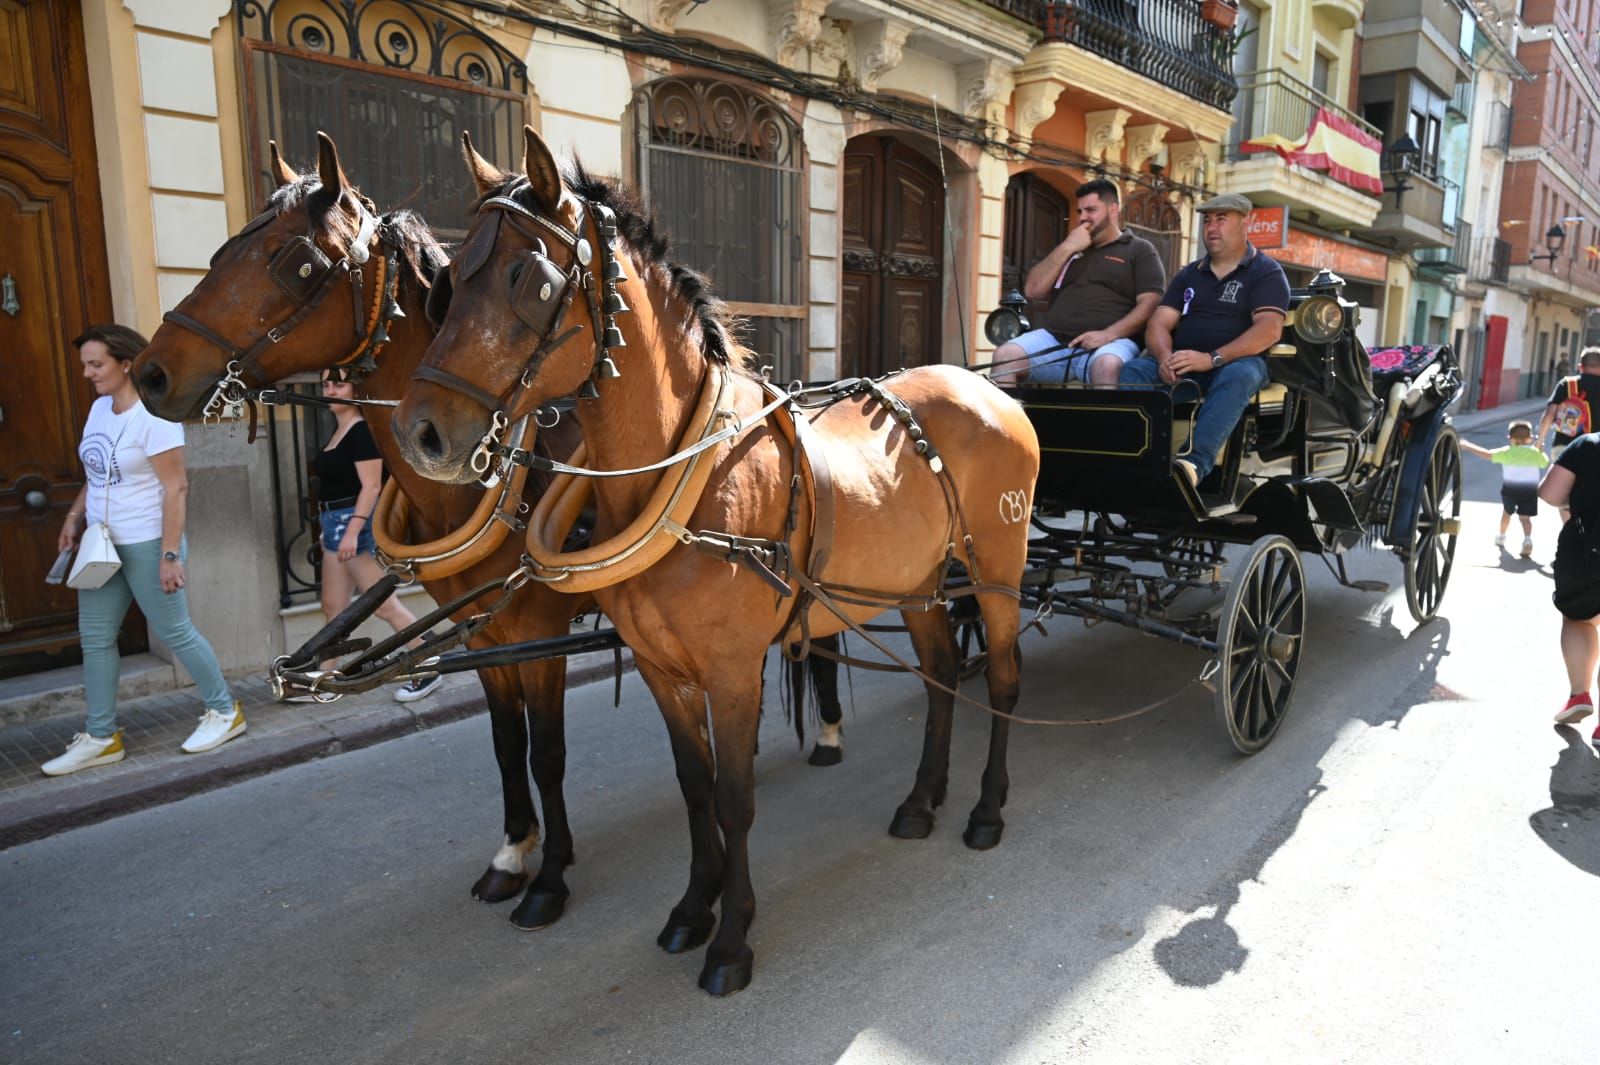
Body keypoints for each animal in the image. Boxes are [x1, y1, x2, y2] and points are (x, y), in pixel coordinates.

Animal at [393, 128, 1043, 991]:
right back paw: (921, 800)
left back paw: (986, 808)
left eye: (528, 279)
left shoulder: (733, 670)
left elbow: (735, 798)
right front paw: (692, 907)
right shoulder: (662, 667)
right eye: (446, 282)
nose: (422, 433)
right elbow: (694, 786)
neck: (686, 473)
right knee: (940, 673)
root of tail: (993, 390)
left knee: (1000, 679)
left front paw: (732, 937)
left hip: (997, 569)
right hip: (919, 585)